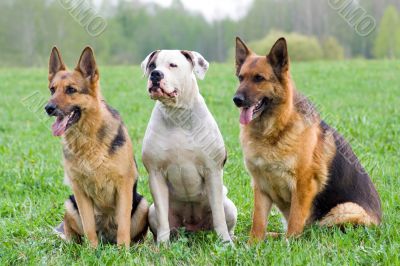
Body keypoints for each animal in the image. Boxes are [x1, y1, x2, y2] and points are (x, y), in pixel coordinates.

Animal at [45, 47, 148, 247]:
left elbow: (123, 226)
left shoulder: (124, 186)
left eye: (71, 90)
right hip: (70, 204)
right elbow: (89, 227)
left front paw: (123, 251)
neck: (88, 138)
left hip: (142, 204)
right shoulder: (79, 190)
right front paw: (91, 250)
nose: (48, 108)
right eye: (52, 89)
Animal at [233, 36, 382, 242]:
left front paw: (289, 245)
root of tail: (380, 222)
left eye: (259, 78)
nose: (236, 100)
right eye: (241, 78)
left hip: (344, 211)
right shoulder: (261, 187)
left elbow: (295, 223)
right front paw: (252, 244)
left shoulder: (303, 185)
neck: (275, 130)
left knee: (314, 231)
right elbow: (258, 223)